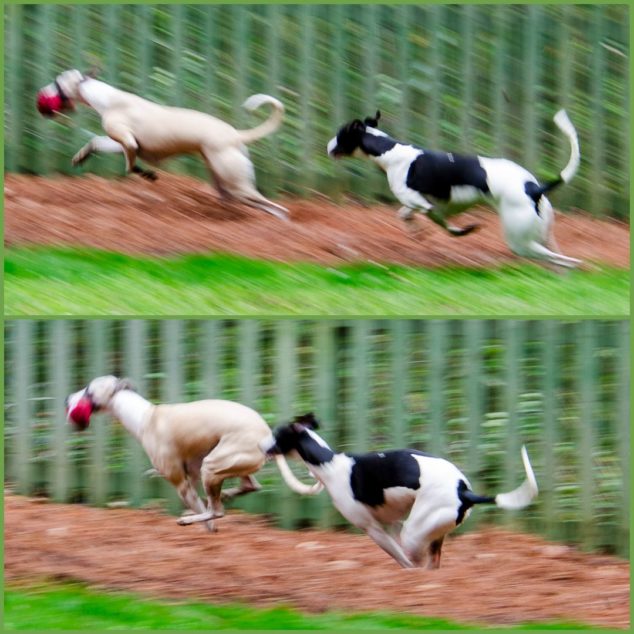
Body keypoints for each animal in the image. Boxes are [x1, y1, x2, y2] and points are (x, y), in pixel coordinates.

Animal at [37, 69, 288, 220]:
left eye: (57, 82)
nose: (41, 95)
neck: (107, 99)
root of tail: (236, 135)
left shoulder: (129, 142)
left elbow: (130, 165)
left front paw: (146, 174)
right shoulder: (124, 143)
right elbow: (96, 142)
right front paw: (81, 156)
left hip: (238, 184)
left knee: (279, 209)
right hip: (224, 183)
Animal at [66, 376, 320, 528]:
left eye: (88, 390)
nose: (68, 398)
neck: (144, 416)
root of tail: (268, 436)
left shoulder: (182, 483)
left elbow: (196, 503)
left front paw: (204, 525)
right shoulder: (193, 474)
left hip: (213, 465)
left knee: (217, 511)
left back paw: (195, 518)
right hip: (227, 465)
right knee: (250, 486)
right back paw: (225, 496)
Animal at [260, 414, 532, 568]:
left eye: (277, 434)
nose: (260, 446)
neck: (330, 463)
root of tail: (463, 490)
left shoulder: (372, 529)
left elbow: (401, 559)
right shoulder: (390, 522)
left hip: (412, 533)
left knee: (417, 560)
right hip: (430, 532)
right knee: (433, 563)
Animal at [328, 109, 580, 266]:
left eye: (341, 134)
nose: (328, 146)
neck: (390, 151)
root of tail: (535, 189)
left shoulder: (424, 204)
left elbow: (445, 225)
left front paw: (459, 231)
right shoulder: (421, 203)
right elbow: (404, 215)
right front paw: (416, 230)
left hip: (521, 242)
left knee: (563, 261)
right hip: (543, 234)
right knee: (557, 259)